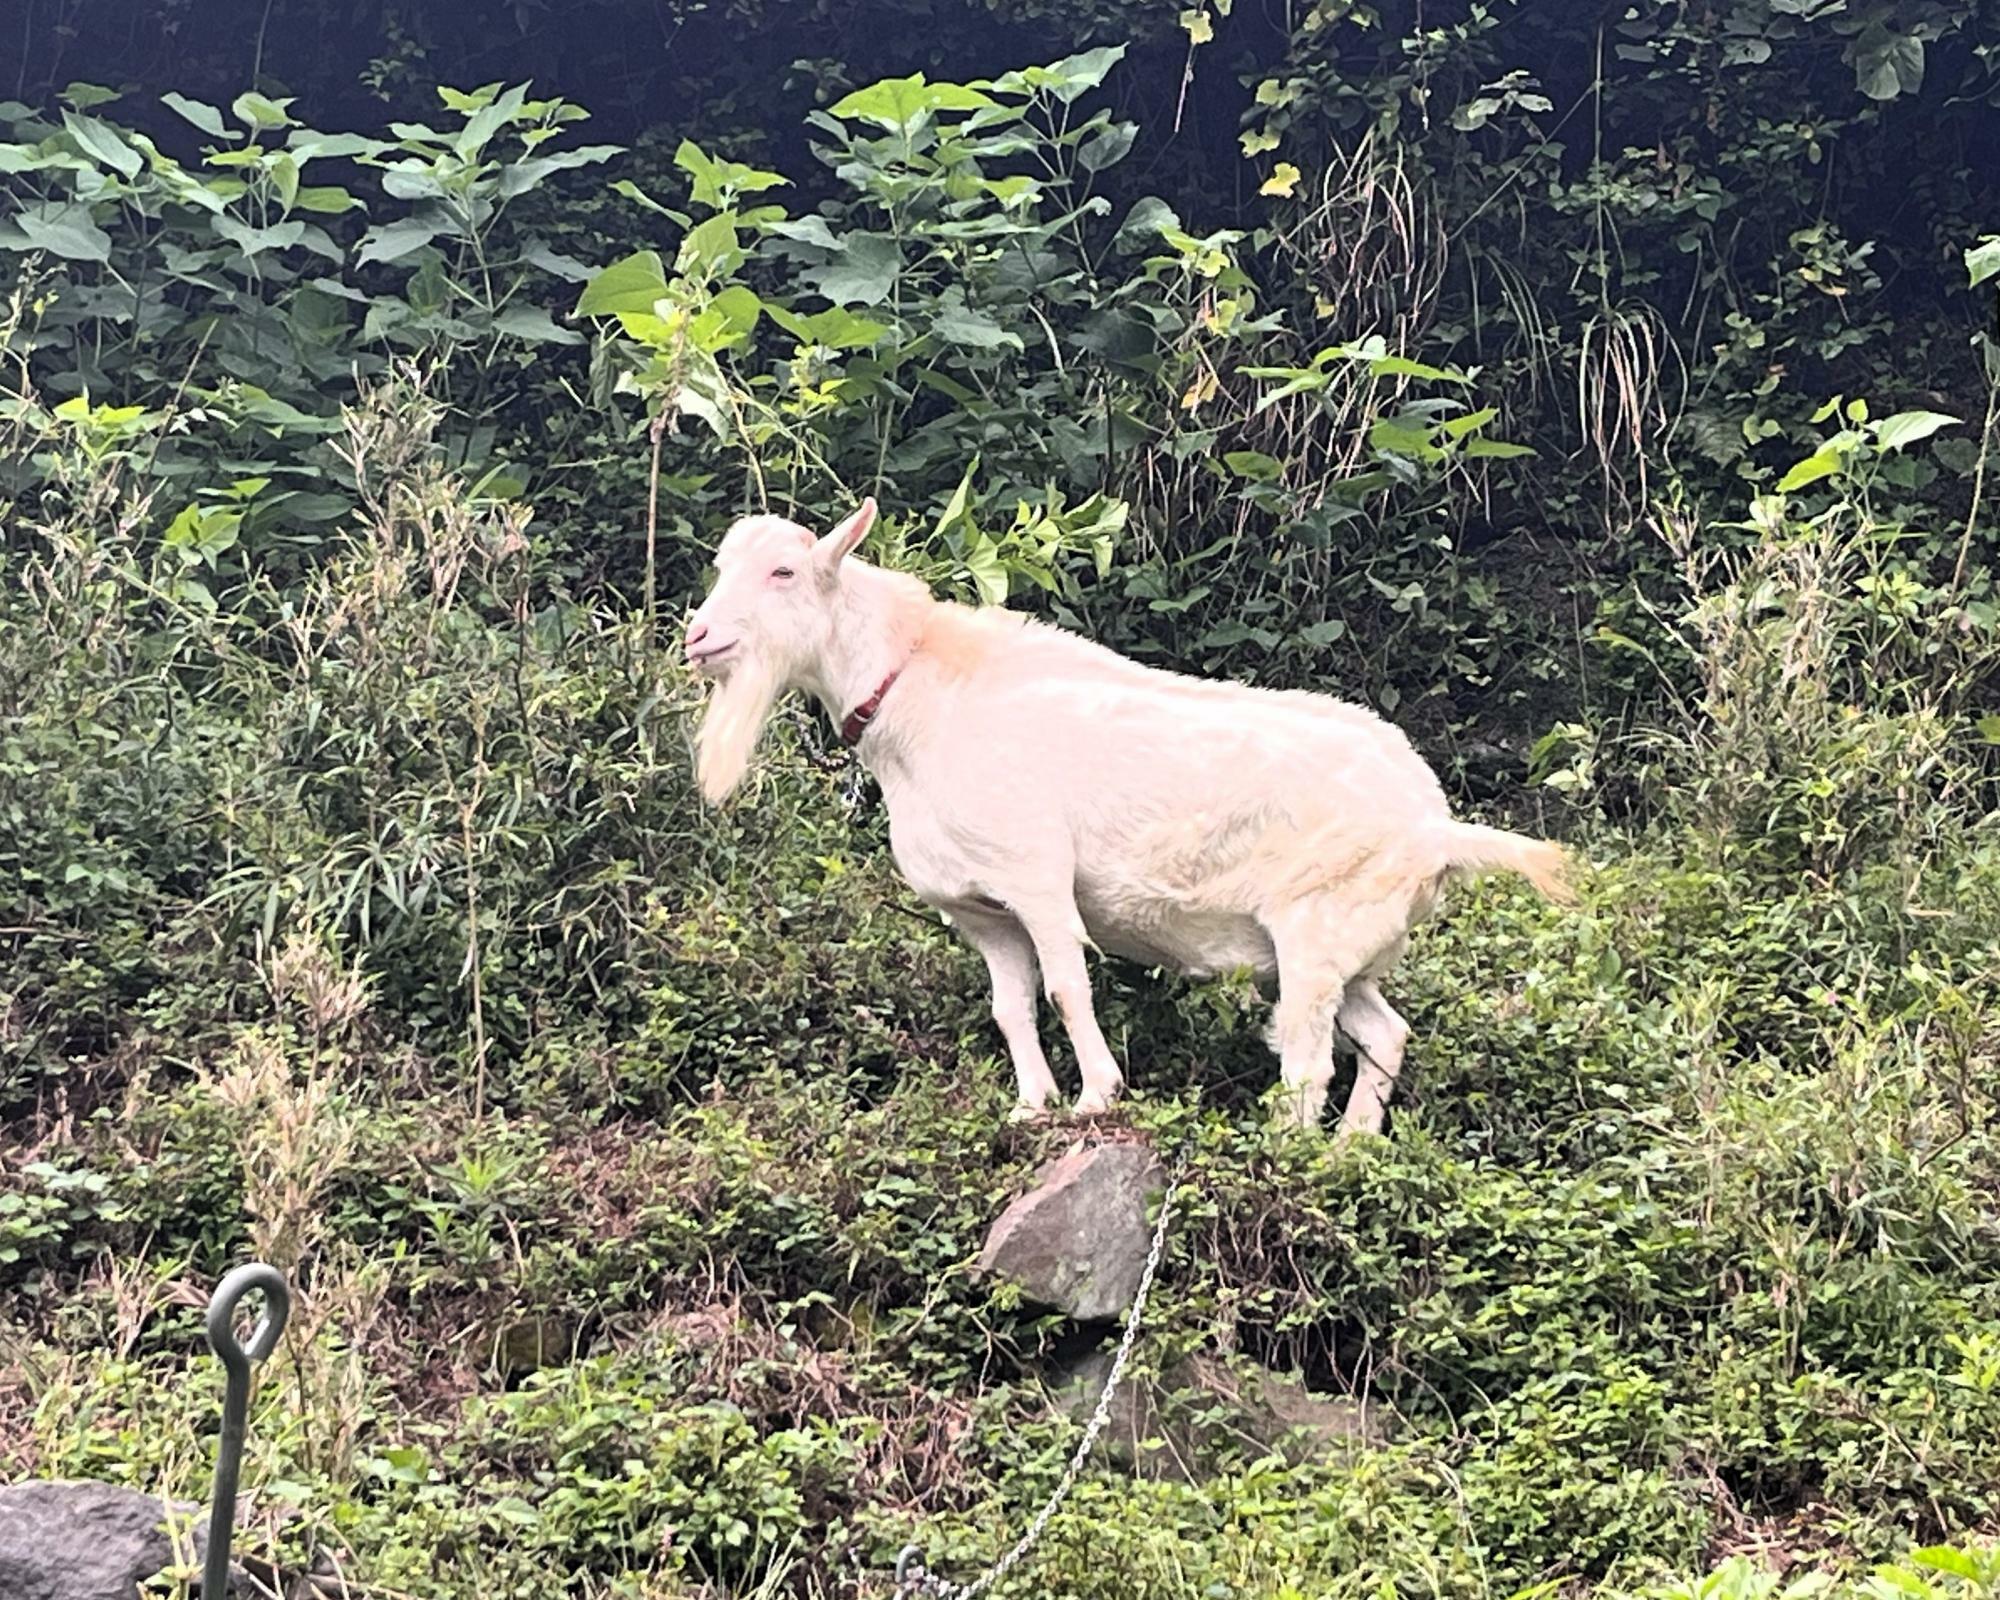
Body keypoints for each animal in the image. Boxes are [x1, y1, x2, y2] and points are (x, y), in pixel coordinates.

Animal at [688, 500, 1576, 1136]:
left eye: (783, 571)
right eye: (721, 566)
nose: (699, 636)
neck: (922, 698)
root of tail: (1436, 826)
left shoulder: (1038, 879)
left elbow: (1067, 988)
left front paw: (1097, 1097)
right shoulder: (981, 912)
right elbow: (1012, 1008)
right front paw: (1031, 1106)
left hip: (1316, 935)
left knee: (1308, 1061)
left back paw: (1288, 1151)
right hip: (1353, 950)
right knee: (1384, 1035)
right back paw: (1348, 1148)